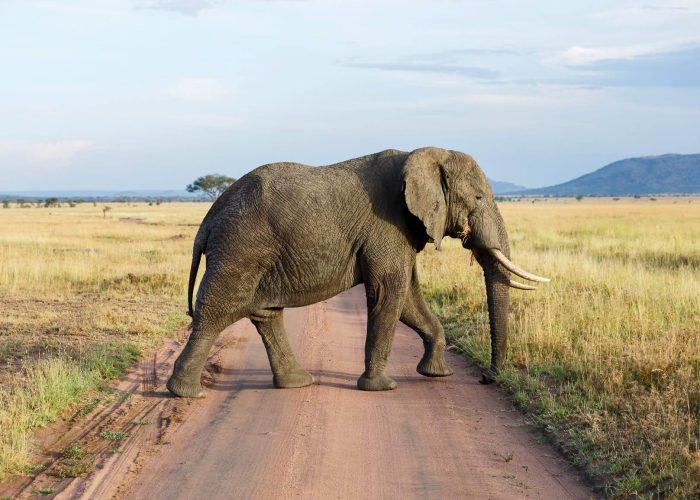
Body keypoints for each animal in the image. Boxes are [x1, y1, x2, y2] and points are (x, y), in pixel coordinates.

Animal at [167, 147, 549, 398]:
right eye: (480, 198)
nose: (486, 378)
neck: (423, 153)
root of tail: (209, 218)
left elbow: (408, 299)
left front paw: (437, 373)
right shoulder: (387, 226)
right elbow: (390, 292)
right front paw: (381, 388)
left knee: (266, 314)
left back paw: (297, 383)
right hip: (241, 248)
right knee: (216, 312)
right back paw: (186, 393)